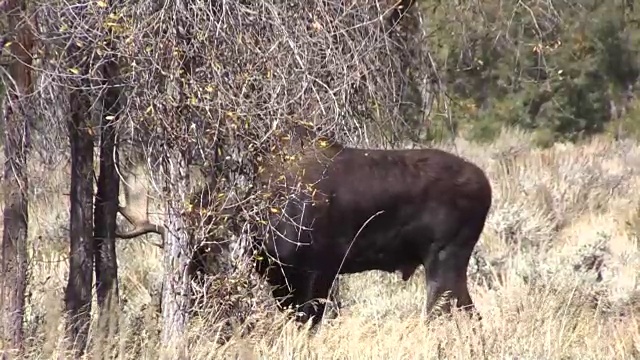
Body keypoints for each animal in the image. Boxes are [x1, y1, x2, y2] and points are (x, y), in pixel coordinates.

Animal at [116, 126, 496, 330]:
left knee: (452, 313)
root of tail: (487, 187)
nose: (185, 299)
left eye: (205, 251)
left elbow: (309, 323)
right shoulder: (282, 278)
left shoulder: (319, 270)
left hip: (445, 259)